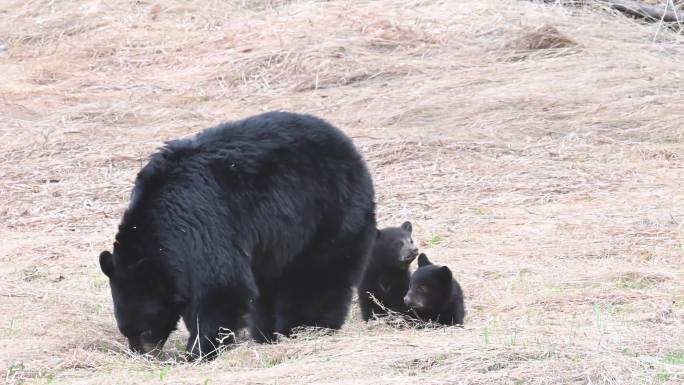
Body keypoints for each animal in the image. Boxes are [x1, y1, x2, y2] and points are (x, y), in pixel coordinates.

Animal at [97, 112, 374, 360]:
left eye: (146, 328)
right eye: (126, 330)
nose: (141, 354)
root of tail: (350, 148)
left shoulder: (205, 225)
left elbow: (222, 287)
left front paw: (198, 351)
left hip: (327, 211)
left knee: (318, 274)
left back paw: (307, 327)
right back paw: (266, 334)